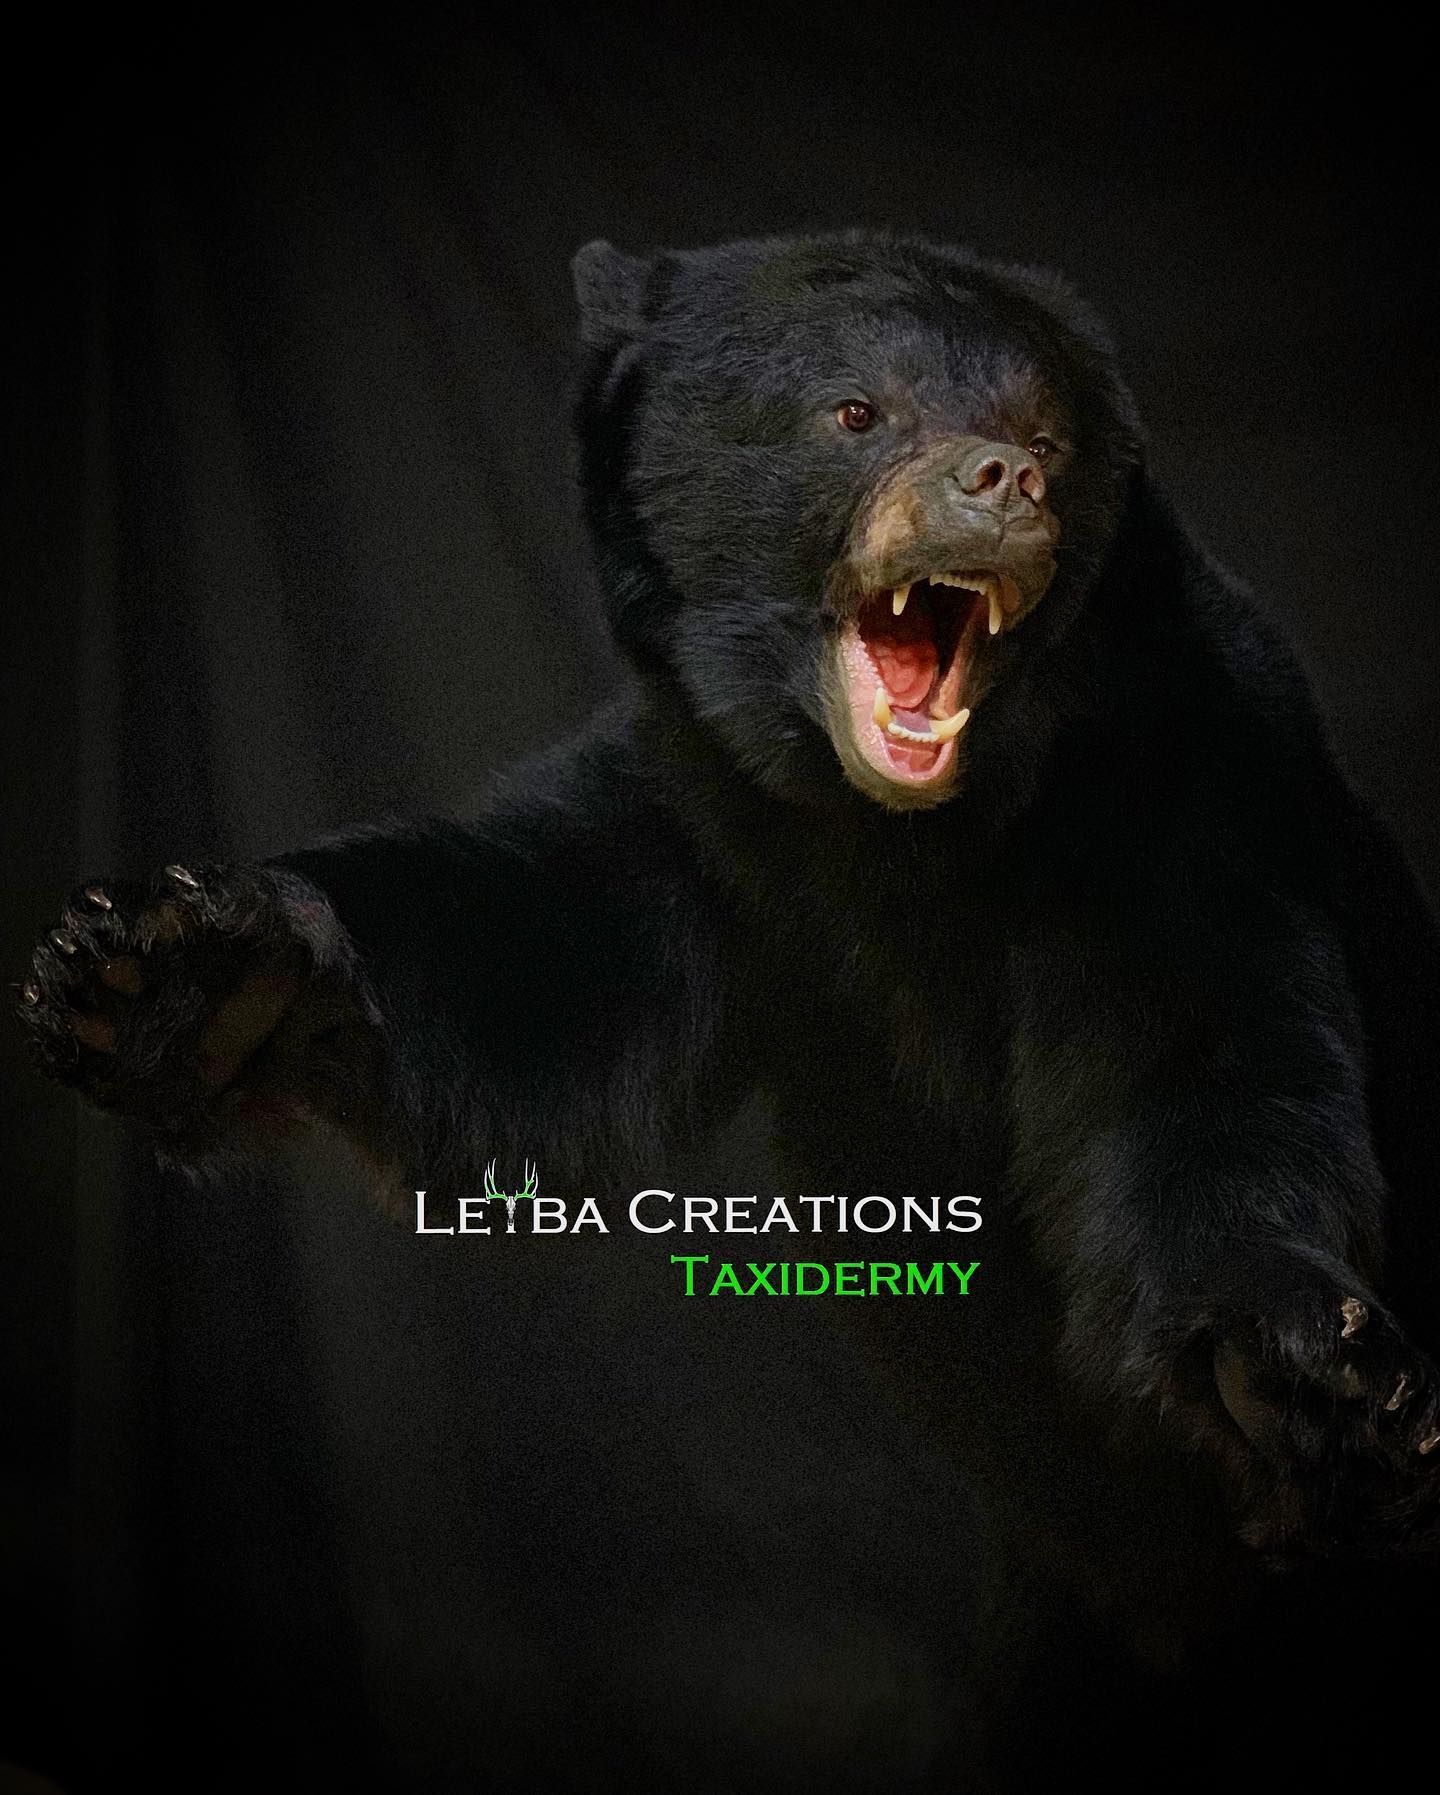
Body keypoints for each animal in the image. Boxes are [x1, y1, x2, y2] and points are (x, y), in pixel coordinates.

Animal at [18, 230, 1440, 1785]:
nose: (1005, 480)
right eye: (857, 411)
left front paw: (1295, 1374)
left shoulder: (1184, 792)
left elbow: (1206, 1057)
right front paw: (175, 971)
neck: (903, 837)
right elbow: (531, 955)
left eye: (1050, 431)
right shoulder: (713, 821)